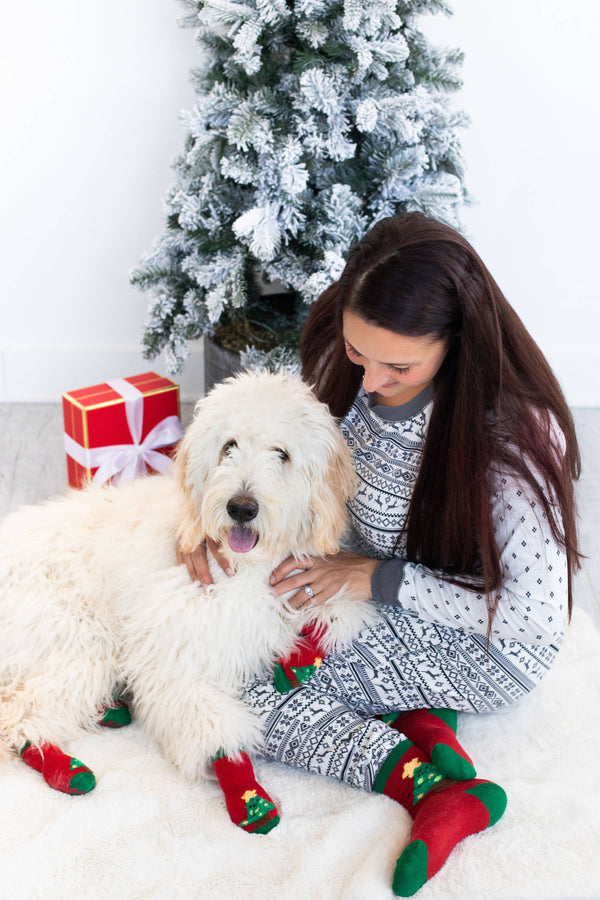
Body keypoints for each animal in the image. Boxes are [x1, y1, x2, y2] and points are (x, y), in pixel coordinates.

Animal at [1, 372, 376, 796]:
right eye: (229, 446)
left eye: (282, 454)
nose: (241, 507)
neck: (244, 566)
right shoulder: (176, 652)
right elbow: (206, 722)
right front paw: (239, 779)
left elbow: (335, 610)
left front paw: (303, 653)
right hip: (82, 640)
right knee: (17, 716)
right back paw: (66, 767)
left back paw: (109, 711)